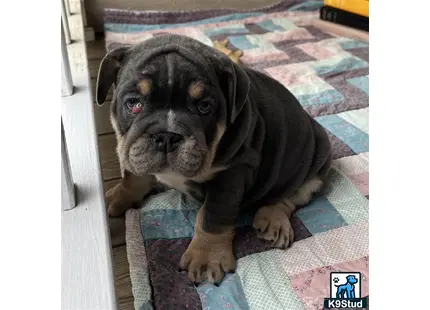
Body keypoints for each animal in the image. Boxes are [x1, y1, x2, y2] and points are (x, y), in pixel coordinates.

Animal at [95, 34, 332, 286]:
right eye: (133, 103)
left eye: (204, 107)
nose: (167, 136)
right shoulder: (133, 149)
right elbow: (133, 176)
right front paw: (118, 196)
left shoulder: (231, 174)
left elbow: (213, 217)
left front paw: (207, 258)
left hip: (317, 158)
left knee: (291, 195)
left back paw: (274, 219)